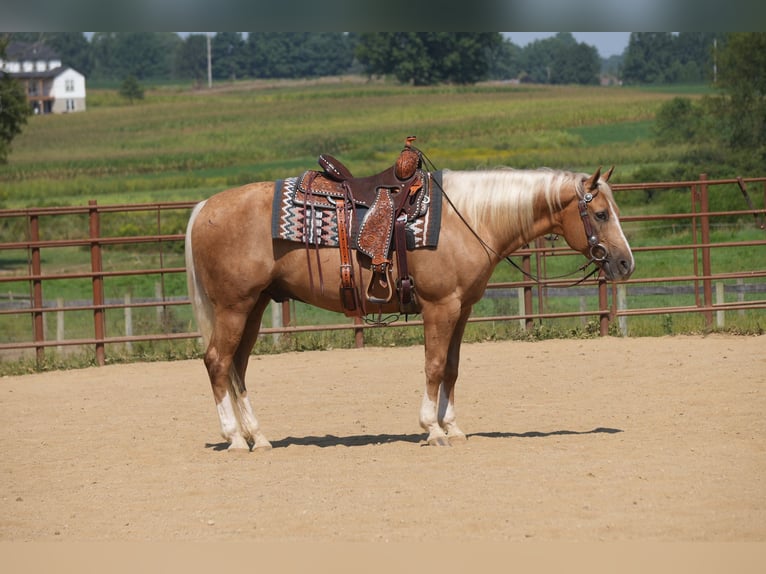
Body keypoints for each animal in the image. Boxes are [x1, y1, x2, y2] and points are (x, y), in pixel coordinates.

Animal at [184, 165, 635, 450]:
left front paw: (453, 427)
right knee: (217, 362)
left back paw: (258, 437)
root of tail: (204, 206)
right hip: (234, 307)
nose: (626, 263)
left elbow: (451, 368)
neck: (467, 219)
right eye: (600, 214)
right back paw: (234, 438)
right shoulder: (440, 307)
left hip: (255, 306)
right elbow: (433, 366)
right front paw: (432, 430)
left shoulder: (461, 309)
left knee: (237, 367)